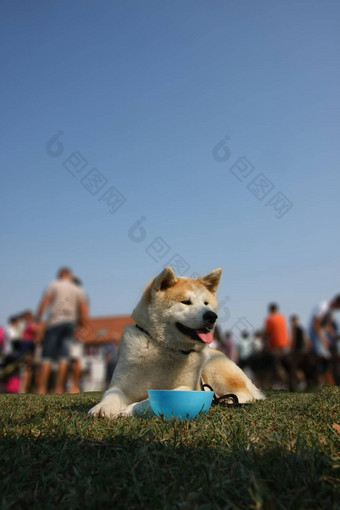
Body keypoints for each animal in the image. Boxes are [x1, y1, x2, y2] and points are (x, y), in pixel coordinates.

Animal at [89, 264, 264, 416]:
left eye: (206, 303)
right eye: (186, 302)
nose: (211, 316)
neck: (164, 348)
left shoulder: (190, 388)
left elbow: (157, 399)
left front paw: (131, 409)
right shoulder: (121, 385)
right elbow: (111, 394)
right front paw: (102, 407)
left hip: (213, 367)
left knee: (245, 394)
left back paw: (229, 399)